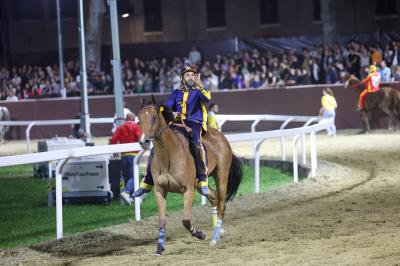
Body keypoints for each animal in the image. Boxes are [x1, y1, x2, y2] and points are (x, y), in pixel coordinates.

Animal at [138, 104, 244, 256]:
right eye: (139, 119)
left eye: (154, 117)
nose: (144, 141)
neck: (169, 154)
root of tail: (220, 136)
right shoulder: (160, 190)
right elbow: (162, 221)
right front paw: (159, 248)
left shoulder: (188, 190)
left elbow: (186, 220)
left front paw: (200, 234)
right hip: (200, 184)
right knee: (213, 197)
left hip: (221, 175)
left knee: (221, 205)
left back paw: (215, 238)